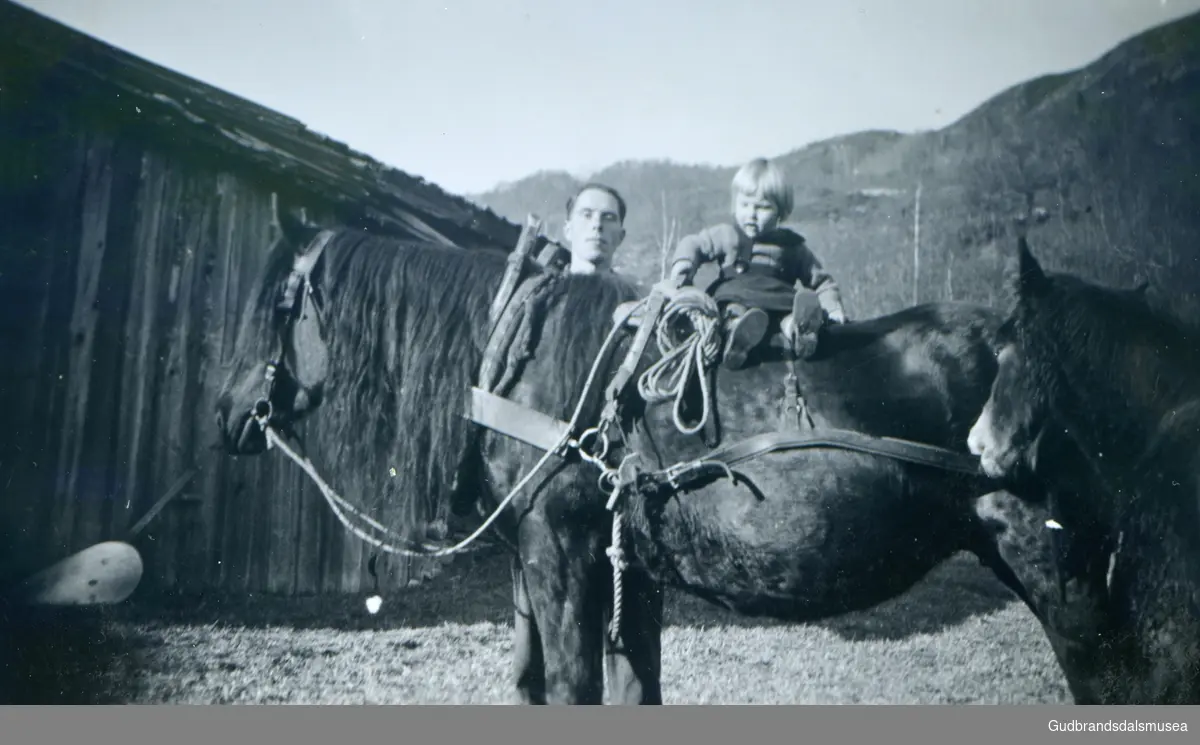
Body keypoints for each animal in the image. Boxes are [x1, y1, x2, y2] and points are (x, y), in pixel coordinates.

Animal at [216, 213, 1032, 705]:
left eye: (273, 309)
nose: (225, 414)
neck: (524, 358)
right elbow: (624, 686)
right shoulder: (623, 568)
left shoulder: (560, 553)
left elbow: (571, 687)